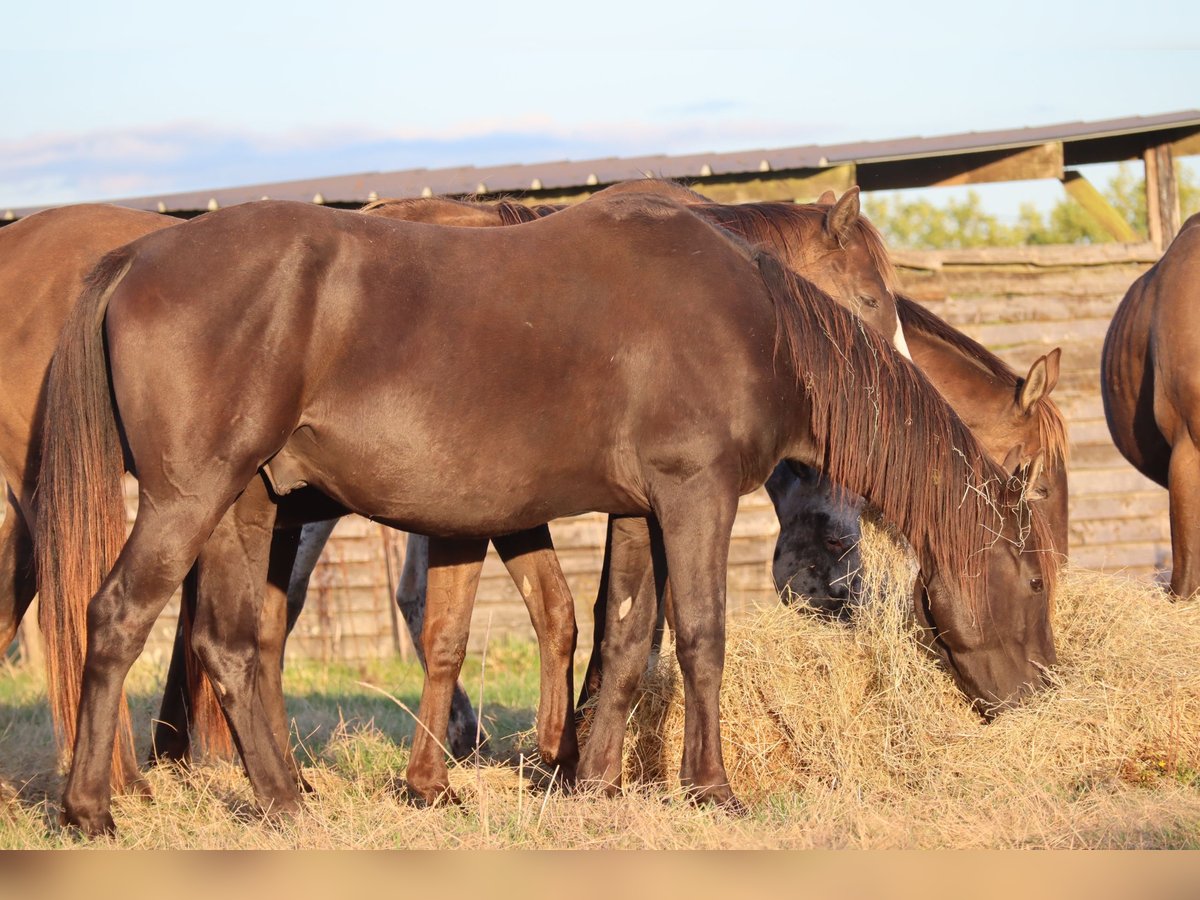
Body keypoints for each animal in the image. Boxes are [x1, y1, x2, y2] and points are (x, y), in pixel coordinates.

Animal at [32, 194, 1056, 835]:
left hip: (246, 504)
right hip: (191, 500)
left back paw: (285, 800)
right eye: (1036, 577)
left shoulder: (644, 510)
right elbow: (700, 637)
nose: (1044, 695)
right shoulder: (695, 497)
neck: (752, 318)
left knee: (234, 645)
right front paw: (712, 790)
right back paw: (92, 809)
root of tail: (137, 257)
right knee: (114, 619)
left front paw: (592, 781)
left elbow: (628, 632)